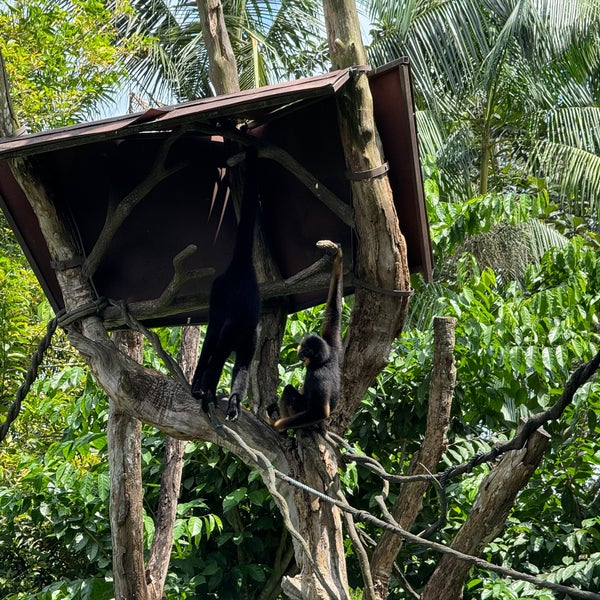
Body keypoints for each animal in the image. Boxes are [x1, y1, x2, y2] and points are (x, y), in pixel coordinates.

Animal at [190, 146, 260, 422]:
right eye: (231, 341)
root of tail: (241, 266)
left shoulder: (250, 339)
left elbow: (242, 368)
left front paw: (234, 402)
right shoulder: (231, 334)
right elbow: (216, 353)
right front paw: (207, 391)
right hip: (218, 289)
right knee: (212, 336)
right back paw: (198, 383)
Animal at [270, 244, 342, 432]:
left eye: (308, 352)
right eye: (303, 348)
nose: (301, 354)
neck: (322, 361)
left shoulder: (318, 376)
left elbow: (319, 411)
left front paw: (278, 425)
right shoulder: (333, 346)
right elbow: (333, 313)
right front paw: (338, 260)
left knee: (289, 391)